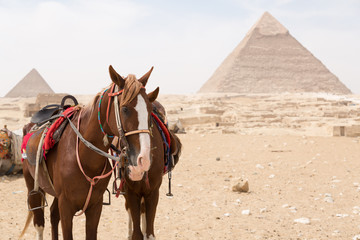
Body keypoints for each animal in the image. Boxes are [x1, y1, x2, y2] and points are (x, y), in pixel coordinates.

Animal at [19, 65, 170, 240]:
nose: (143, 160)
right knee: (39, 223)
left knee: (53, 214)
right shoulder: (66, 206)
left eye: (150, 109)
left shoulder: (95, 206)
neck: (85, 157)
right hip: (32, 186)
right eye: (125, 109)